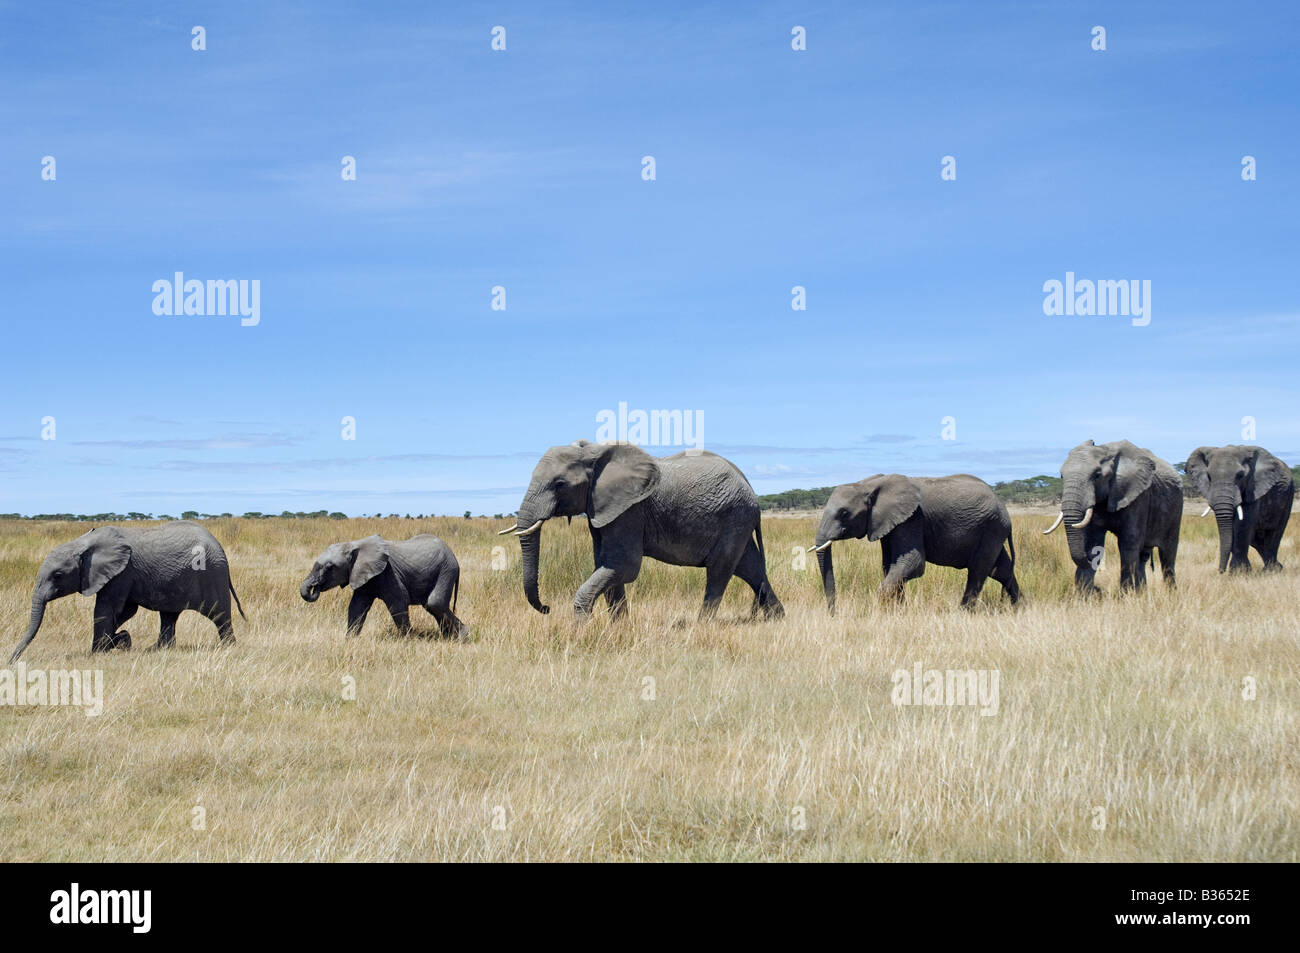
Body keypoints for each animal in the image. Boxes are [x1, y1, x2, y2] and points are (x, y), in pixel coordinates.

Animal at [11, 520, 244, 660]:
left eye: (58, 575)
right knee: (169, 616)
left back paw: (228, 647)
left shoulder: (122, 573)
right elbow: (125, 611)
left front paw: (98, 652)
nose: (12, 660)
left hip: (212, 574)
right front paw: (119, 640)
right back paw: (158, 649)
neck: (84, 543)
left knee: (219, 614)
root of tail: (219, 545)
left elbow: (106, 609)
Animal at [300, 530, 467, 634]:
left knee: (434, 604)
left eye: (329, 567)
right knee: (431, 606)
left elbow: (398, 602)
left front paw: (407, 640)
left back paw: (462, 636)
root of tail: (454, 557)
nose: (315, 587)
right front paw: (349, 641)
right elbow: (357, 607)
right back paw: (448, 638)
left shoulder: (388, 573)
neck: (355, 545)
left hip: (446, 570)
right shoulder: (363, 575)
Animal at [499, 439, 780, 621]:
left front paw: (582, 630)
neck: (595, 453)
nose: (547, 608)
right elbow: (605, 565)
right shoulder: (603, 510)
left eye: (559, 484)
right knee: (750, 568)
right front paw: (620, 629)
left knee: (719, 570)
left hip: (734, 517)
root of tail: (750, 489)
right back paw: (776, 618)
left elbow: (624, 565)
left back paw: (702, 625)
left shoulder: (630, 511)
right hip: (738, 521)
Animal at [806, 470, 1019, 608]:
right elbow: (890, 565)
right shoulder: (888, 523)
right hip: (992, 530)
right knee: (1000, 569)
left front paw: (880, 611)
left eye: (844, 513)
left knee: (978, 570)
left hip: (991, 527)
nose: (833, 613)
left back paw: (964, 611)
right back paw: (1019, 606)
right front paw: (899, 611)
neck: (868, 484)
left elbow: (912, 563)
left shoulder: (913, 518)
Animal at [1040, 439, 1185, 590]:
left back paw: (1170, 592)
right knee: (1143, 557)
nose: (1098, 590)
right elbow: (1093, 542)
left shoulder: (1138, 498)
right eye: (1061, 476)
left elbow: (1128, 544)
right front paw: (1084, 595)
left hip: (1176, 508)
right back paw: (1142, 593)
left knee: (1167, 555)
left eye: (1097, 475)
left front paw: (1125, 594)